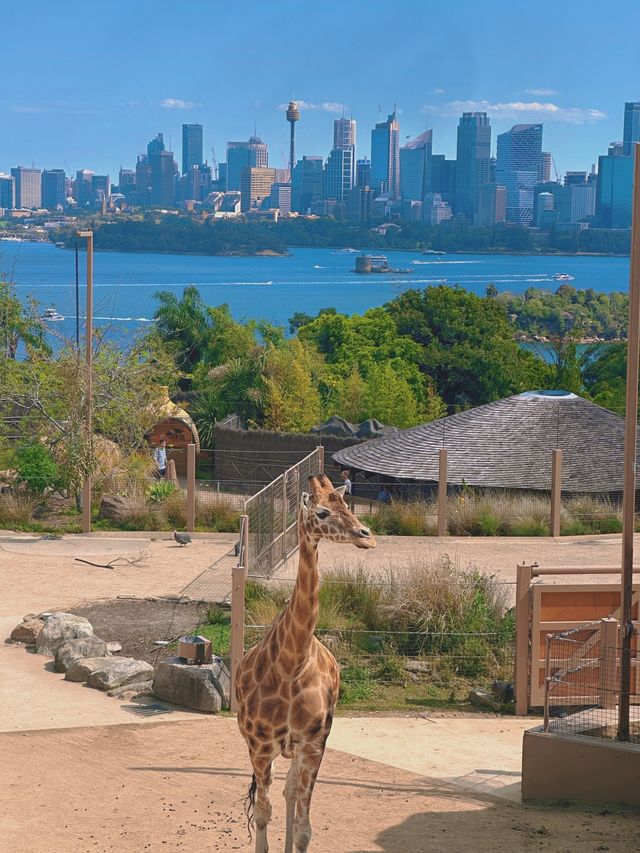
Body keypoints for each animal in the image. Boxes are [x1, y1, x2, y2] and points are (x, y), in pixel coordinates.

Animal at [235, 472, 376, 852]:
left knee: (290, 792)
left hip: (297, 750)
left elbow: (303, 829)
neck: (292, 663)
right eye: (323, 512)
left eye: (348, 505)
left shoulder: (314, 744)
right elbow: (263, 815)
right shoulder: (260, 746)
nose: (367, 536)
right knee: (275, 795)